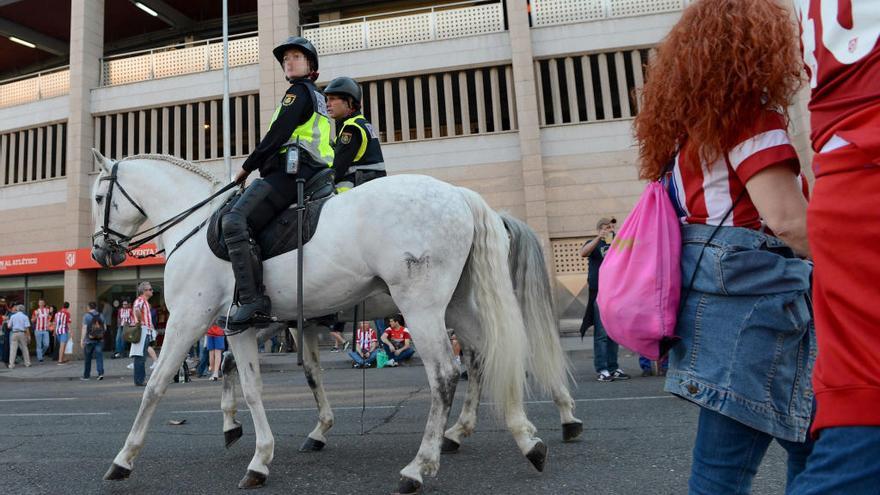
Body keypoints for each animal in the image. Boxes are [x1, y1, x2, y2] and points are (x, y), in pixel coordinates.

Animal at [220, 211, 584, 456]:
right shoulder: (297, 322)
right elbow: (305, 371)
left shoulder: (274, 320)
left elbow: (232, 360)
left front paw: (233, 423)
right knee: (487, 357)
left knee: (506, 353)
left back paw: (561, 417)